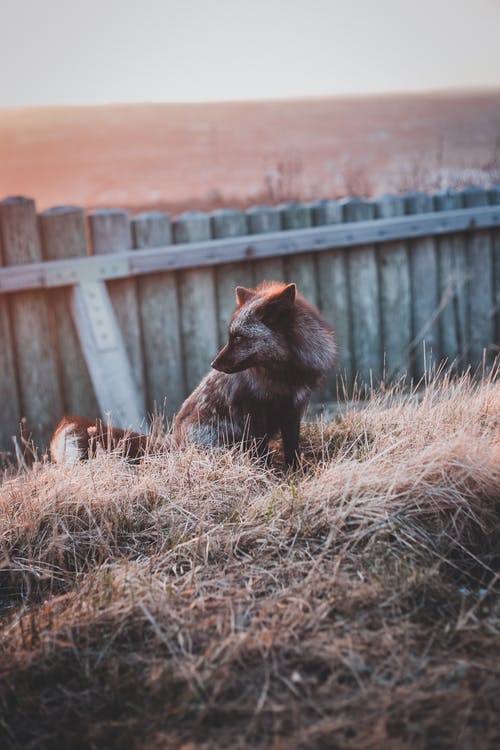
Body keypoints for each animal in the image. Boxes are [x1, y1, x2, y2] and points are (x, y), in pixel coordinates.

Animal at [172, 282, 336, 468]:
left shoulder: (294, 409)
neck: (284, 377)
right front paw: (265, 471)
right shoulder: (253, 410)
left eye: (238, 337)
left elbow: (292, 445)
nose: (213, 365)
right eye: (231, 337)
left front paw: (295, 470)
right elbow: (261, 449)